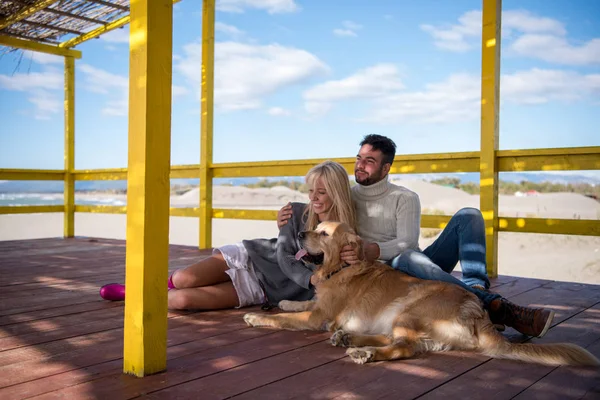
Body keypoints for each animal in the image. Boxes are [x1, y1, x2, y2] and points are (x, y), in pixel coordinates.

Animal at [244, 220, 600, 368]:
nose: (300, 234)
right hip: (402, 319)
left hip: (409, 310)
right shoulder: (316, 305)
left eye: (323, 233)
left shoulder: (319, 316)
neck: (340, 267)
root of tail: (477, 311)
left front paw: (256, 316)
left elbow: (285, 318)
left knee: (403, 348)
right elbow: (296, 303)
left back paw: (362, 352)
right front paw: (284, 301)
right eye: (315, 228)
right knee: (402, 343)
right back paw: (351, 340)